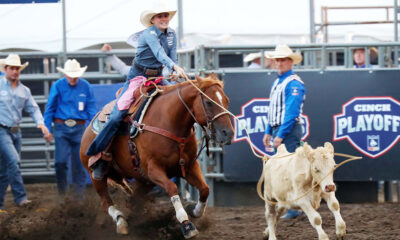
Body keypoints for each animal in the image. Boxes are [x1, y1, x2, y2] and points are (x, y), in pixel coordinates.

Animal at [79, 74, 233, 239]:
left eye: (227, 101)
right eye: (209, 102)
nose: (228, 133)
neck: (169, 122)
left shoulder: (189, 166)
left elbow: (205, 189)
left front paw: (194, 210)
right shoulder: (153, 169)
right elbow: (172, 188)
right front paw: (186, 224)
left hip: (144, 181)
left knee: (133, 199)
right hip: (96, 176)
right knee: (105, 201)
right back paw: (121, 222)